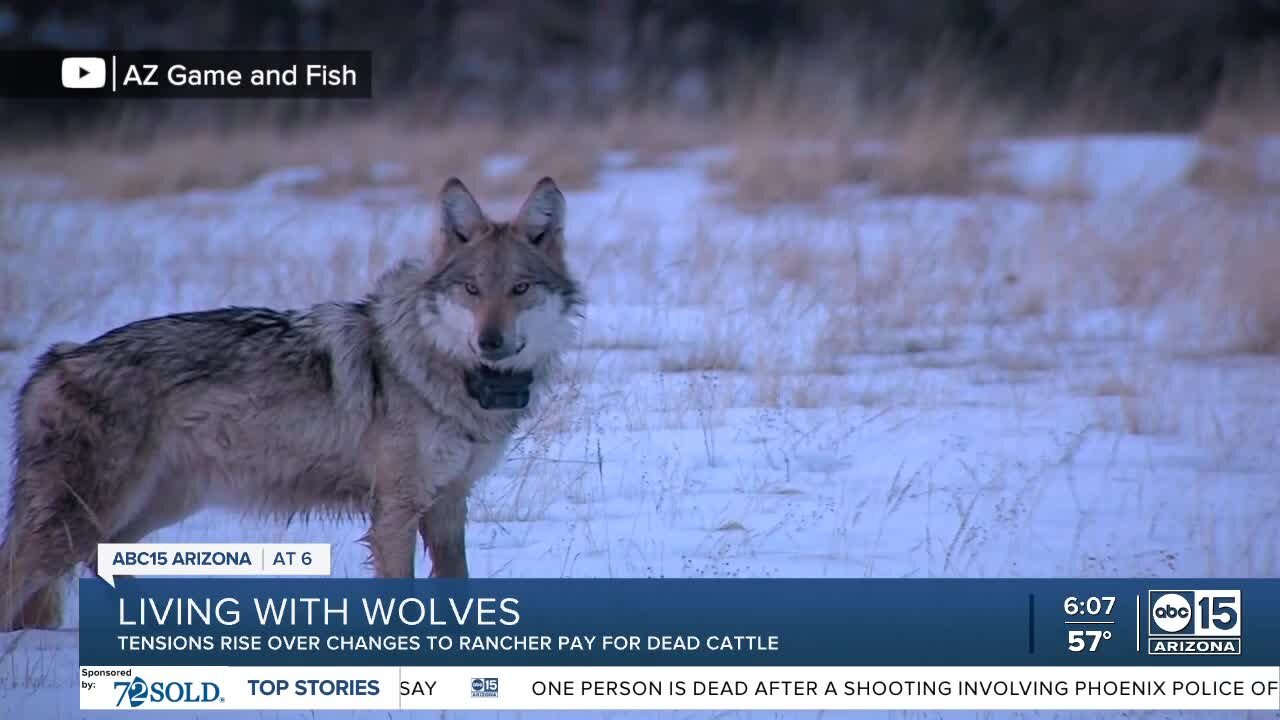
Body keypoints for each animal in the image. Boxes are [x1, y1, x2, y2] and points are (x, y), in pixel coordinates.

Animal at [0, 176, 581, 625]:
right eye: (471, 289)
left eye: (521, 288)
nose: (490, 342)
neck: (445, 373)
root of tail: (52, 359)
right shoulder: (395, 509)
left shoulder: (447, 504)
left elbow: (458, 586)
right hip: (83, 520)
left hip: (147, 511)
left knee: (101, 565)